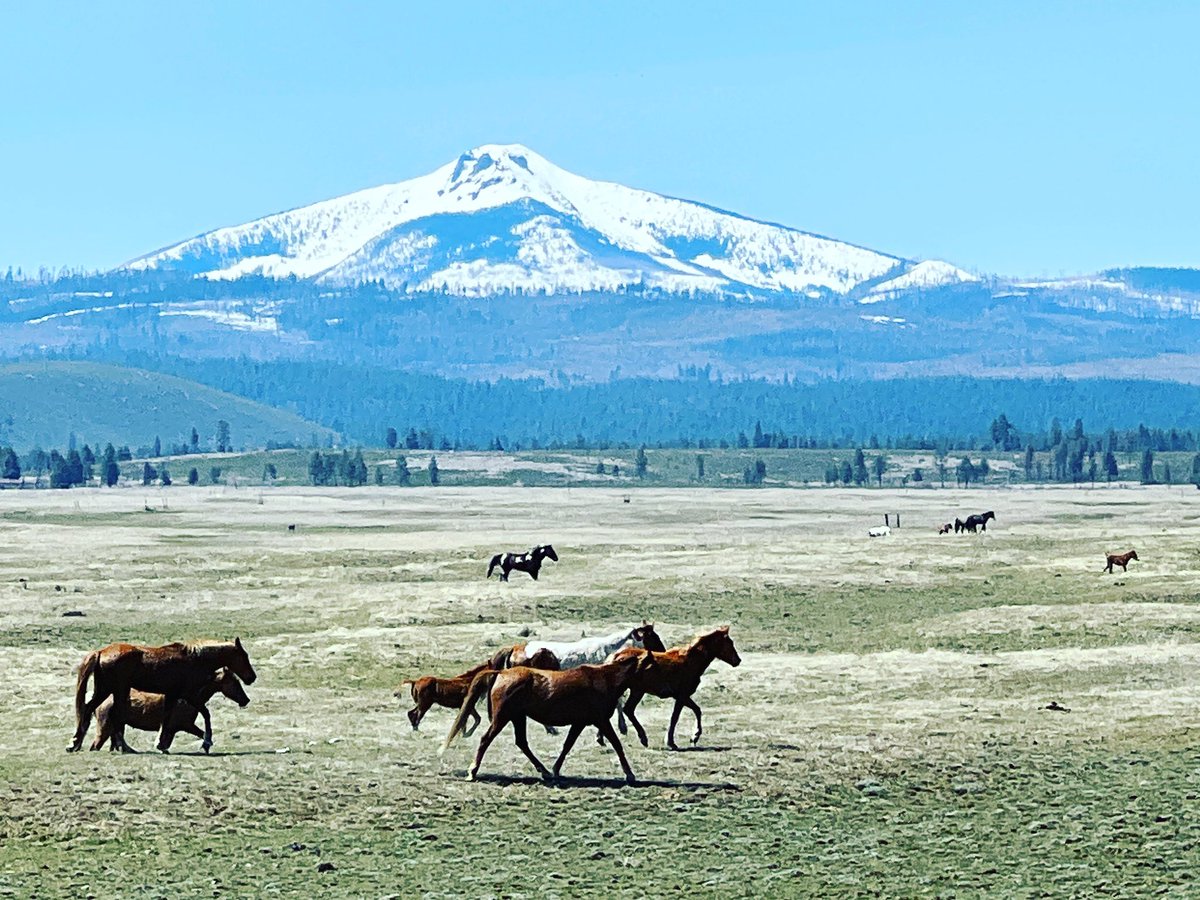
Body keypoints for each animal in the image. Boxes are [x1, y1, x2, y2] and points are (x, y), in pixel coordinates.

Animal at [90, 668, 250, 752]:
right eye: (234, 682)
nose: (246, 700)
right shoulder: (185, 725)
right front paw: (206, 746)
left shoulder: (174, 729)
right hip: (104, 728)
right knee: (95, 746)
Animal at [440, 652, 657, 784]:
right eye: (652, 666)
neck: (605, 680)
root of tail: (500, 672)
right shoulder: (601, 720)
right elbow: (617, 744)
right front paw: (630, 774)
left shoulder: (580, 722)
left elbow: (567, 745)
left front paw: (555, 770)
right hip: (503, 718)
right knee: (486, 740)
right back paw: (472, 771)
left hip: (518, 717)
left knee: (522, 742)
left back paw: (543, 771)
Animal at [605, 626, 741, 751]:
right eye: (730, 643)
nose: (738, 660)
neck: (691, 661)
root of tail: (615, 656)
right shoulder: (681, 696)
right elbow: (675, 717)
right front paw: (672, 742)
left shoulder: (682, 696)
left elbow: (697, 710)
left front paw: (694, 737)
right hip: (636, 691)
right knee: (625, 709)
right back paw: (640, 738)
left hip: (636, 691)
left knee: (627, 709)